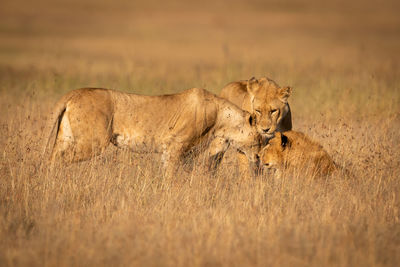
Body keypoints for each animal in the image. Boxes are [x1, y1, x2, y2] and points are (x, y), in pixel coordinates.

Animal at [44, 87, 262, 177]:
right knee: (58, 159)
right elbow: (171, 177)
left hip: (65, 136)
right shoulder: (175, 146)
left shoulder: (173, 152)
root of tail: (74, 92)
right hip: (94, 142)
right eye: (260, 139)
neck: (221, 119)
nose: (259, 158)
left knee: (53, 156)